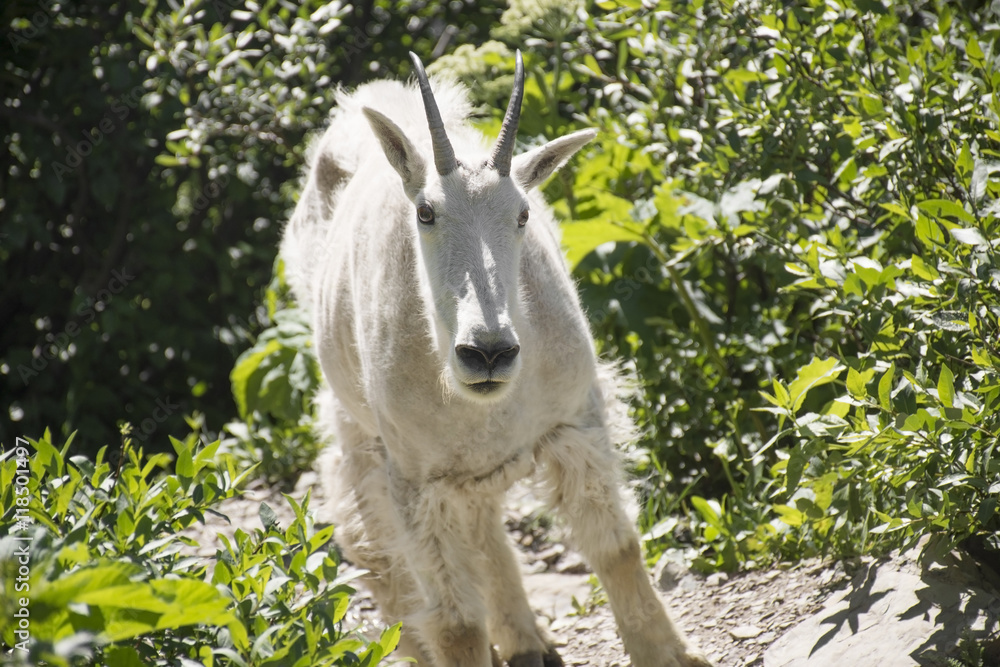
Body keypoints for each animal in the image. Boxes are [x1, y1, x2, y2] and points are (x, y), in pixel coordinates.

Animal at [280, 51, 710, 667]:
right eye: (426, 212)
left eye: (523, 213)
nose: (487, 353)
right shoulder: (415, 480)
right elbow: (457, 624)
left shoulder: (577, 422)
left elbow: (617, 548)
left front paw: (672, 654)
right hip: (356, 425)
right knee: (376, 551)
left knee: (483, 525)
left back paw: (528, 642)